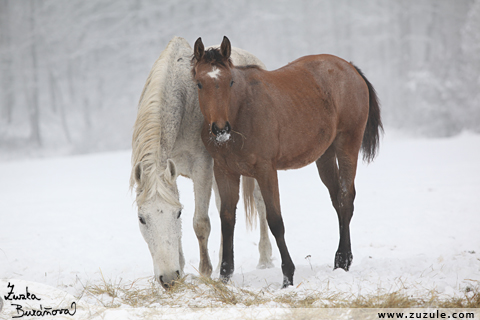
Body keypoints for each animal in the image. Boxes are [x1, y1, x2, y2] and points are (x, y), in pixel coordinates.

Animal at [130, 36, 274, 288]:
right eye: (142, 219)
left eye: (178, 214)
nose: (168, 278)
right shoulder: (172, 172)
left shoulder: (202, 167)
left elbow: (200, 223)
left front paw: (205, 272)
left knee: (261, 204)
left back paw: (265, 260)